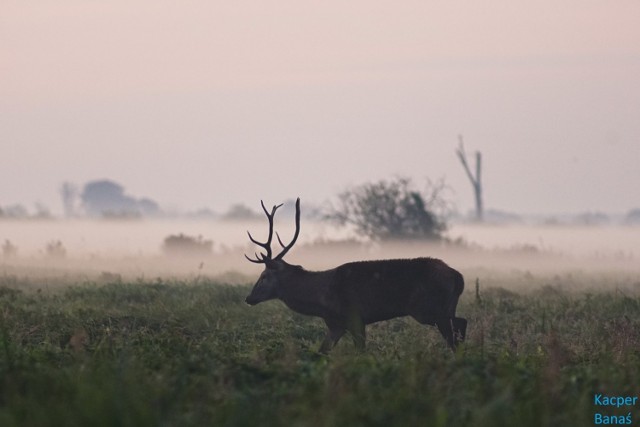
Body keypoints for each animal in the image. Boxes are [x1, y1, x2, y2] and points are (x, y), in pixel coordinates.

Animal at [244, 197, 464, 354]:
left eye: (264, 275)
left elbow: (360, 351)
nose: (249, 298)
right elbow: (322, 352)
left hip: (429, 308)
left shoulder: (354, 317)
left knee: (457, 328)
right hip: (444, 307)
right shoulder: (336, 324)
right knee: (460, 325)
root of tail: (458, 277)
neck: (322, 299)